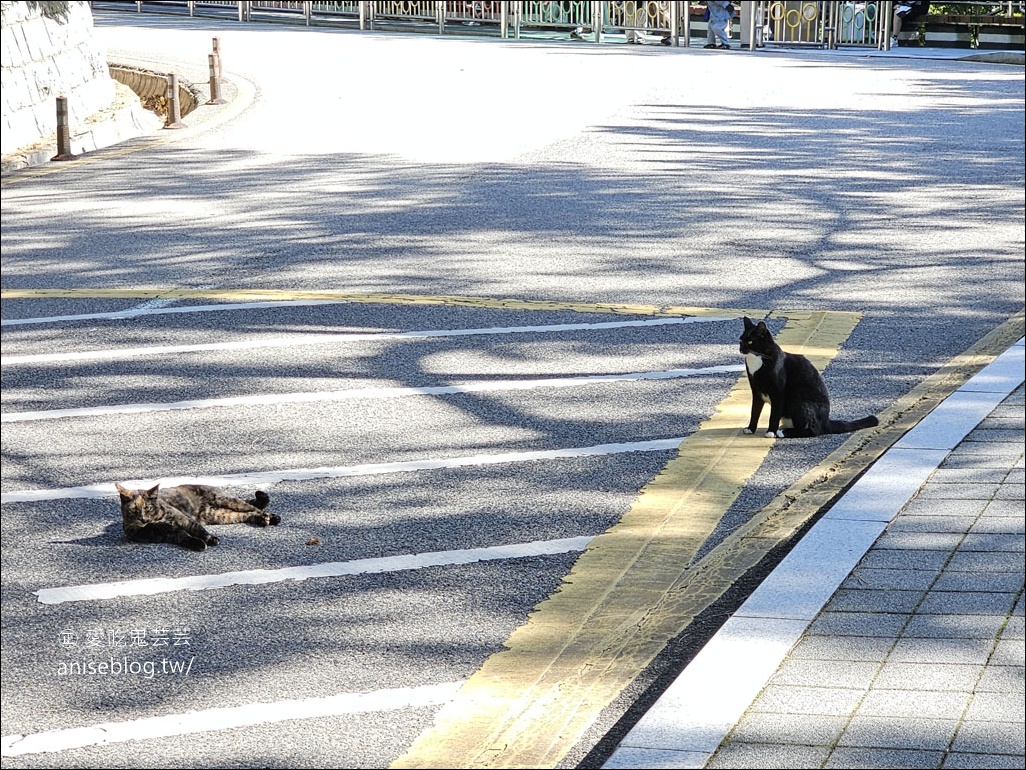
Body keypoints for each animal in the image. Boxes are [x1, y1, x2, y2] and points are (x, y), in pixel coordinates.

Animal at [115, 484, 279, 550]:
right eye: (134, 510)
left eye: (147, 508)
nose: (143, 519)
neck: (156, 521)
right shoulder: (166, 534)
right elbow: (183, 537)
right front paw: (196, 544)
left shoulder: (184, 520)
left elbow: (198, 530)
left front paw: (210, 539)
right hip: (221, 515)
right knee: (247, 514)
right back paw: (263, 520)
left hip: (226, 500)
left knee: (253, 507)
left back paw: (271, 517)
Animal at [742, 316, 878, 439]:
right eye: (741, 340)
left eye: (750, 342)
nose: (741, 348)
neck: (757, 360)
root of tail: (826, 421)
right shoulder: (756, 390)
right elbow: (754, 411)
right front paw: (750, 428)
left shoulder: (778, 392)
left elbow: (774, 413)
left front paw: (771, 431)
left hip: (799, 399)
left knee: (813, 430)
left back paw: (783, 432)